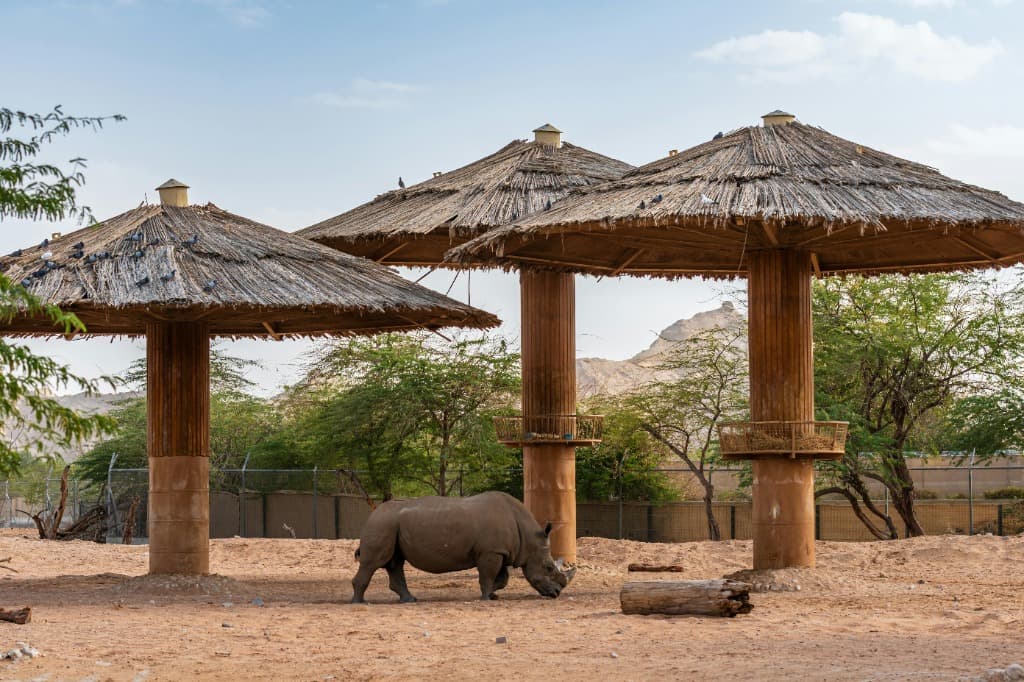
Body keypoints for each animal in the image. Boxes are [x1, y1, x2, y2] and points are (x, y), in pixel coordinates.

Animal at [350, 491, 575, 603]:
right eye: (548, 568)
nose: (556, 593)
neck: (529, 539)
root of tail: (373, 513)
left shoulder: (499, 550)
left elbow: (502, 578)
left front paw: (493, 595)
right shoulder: (490, 552)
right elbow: (488, 576)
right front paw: (486, 598)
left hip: (390, 524)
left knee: (395, 563)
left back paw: (410, 600)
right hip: (382, 523)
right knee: (373, 563)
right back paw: (358, 602)